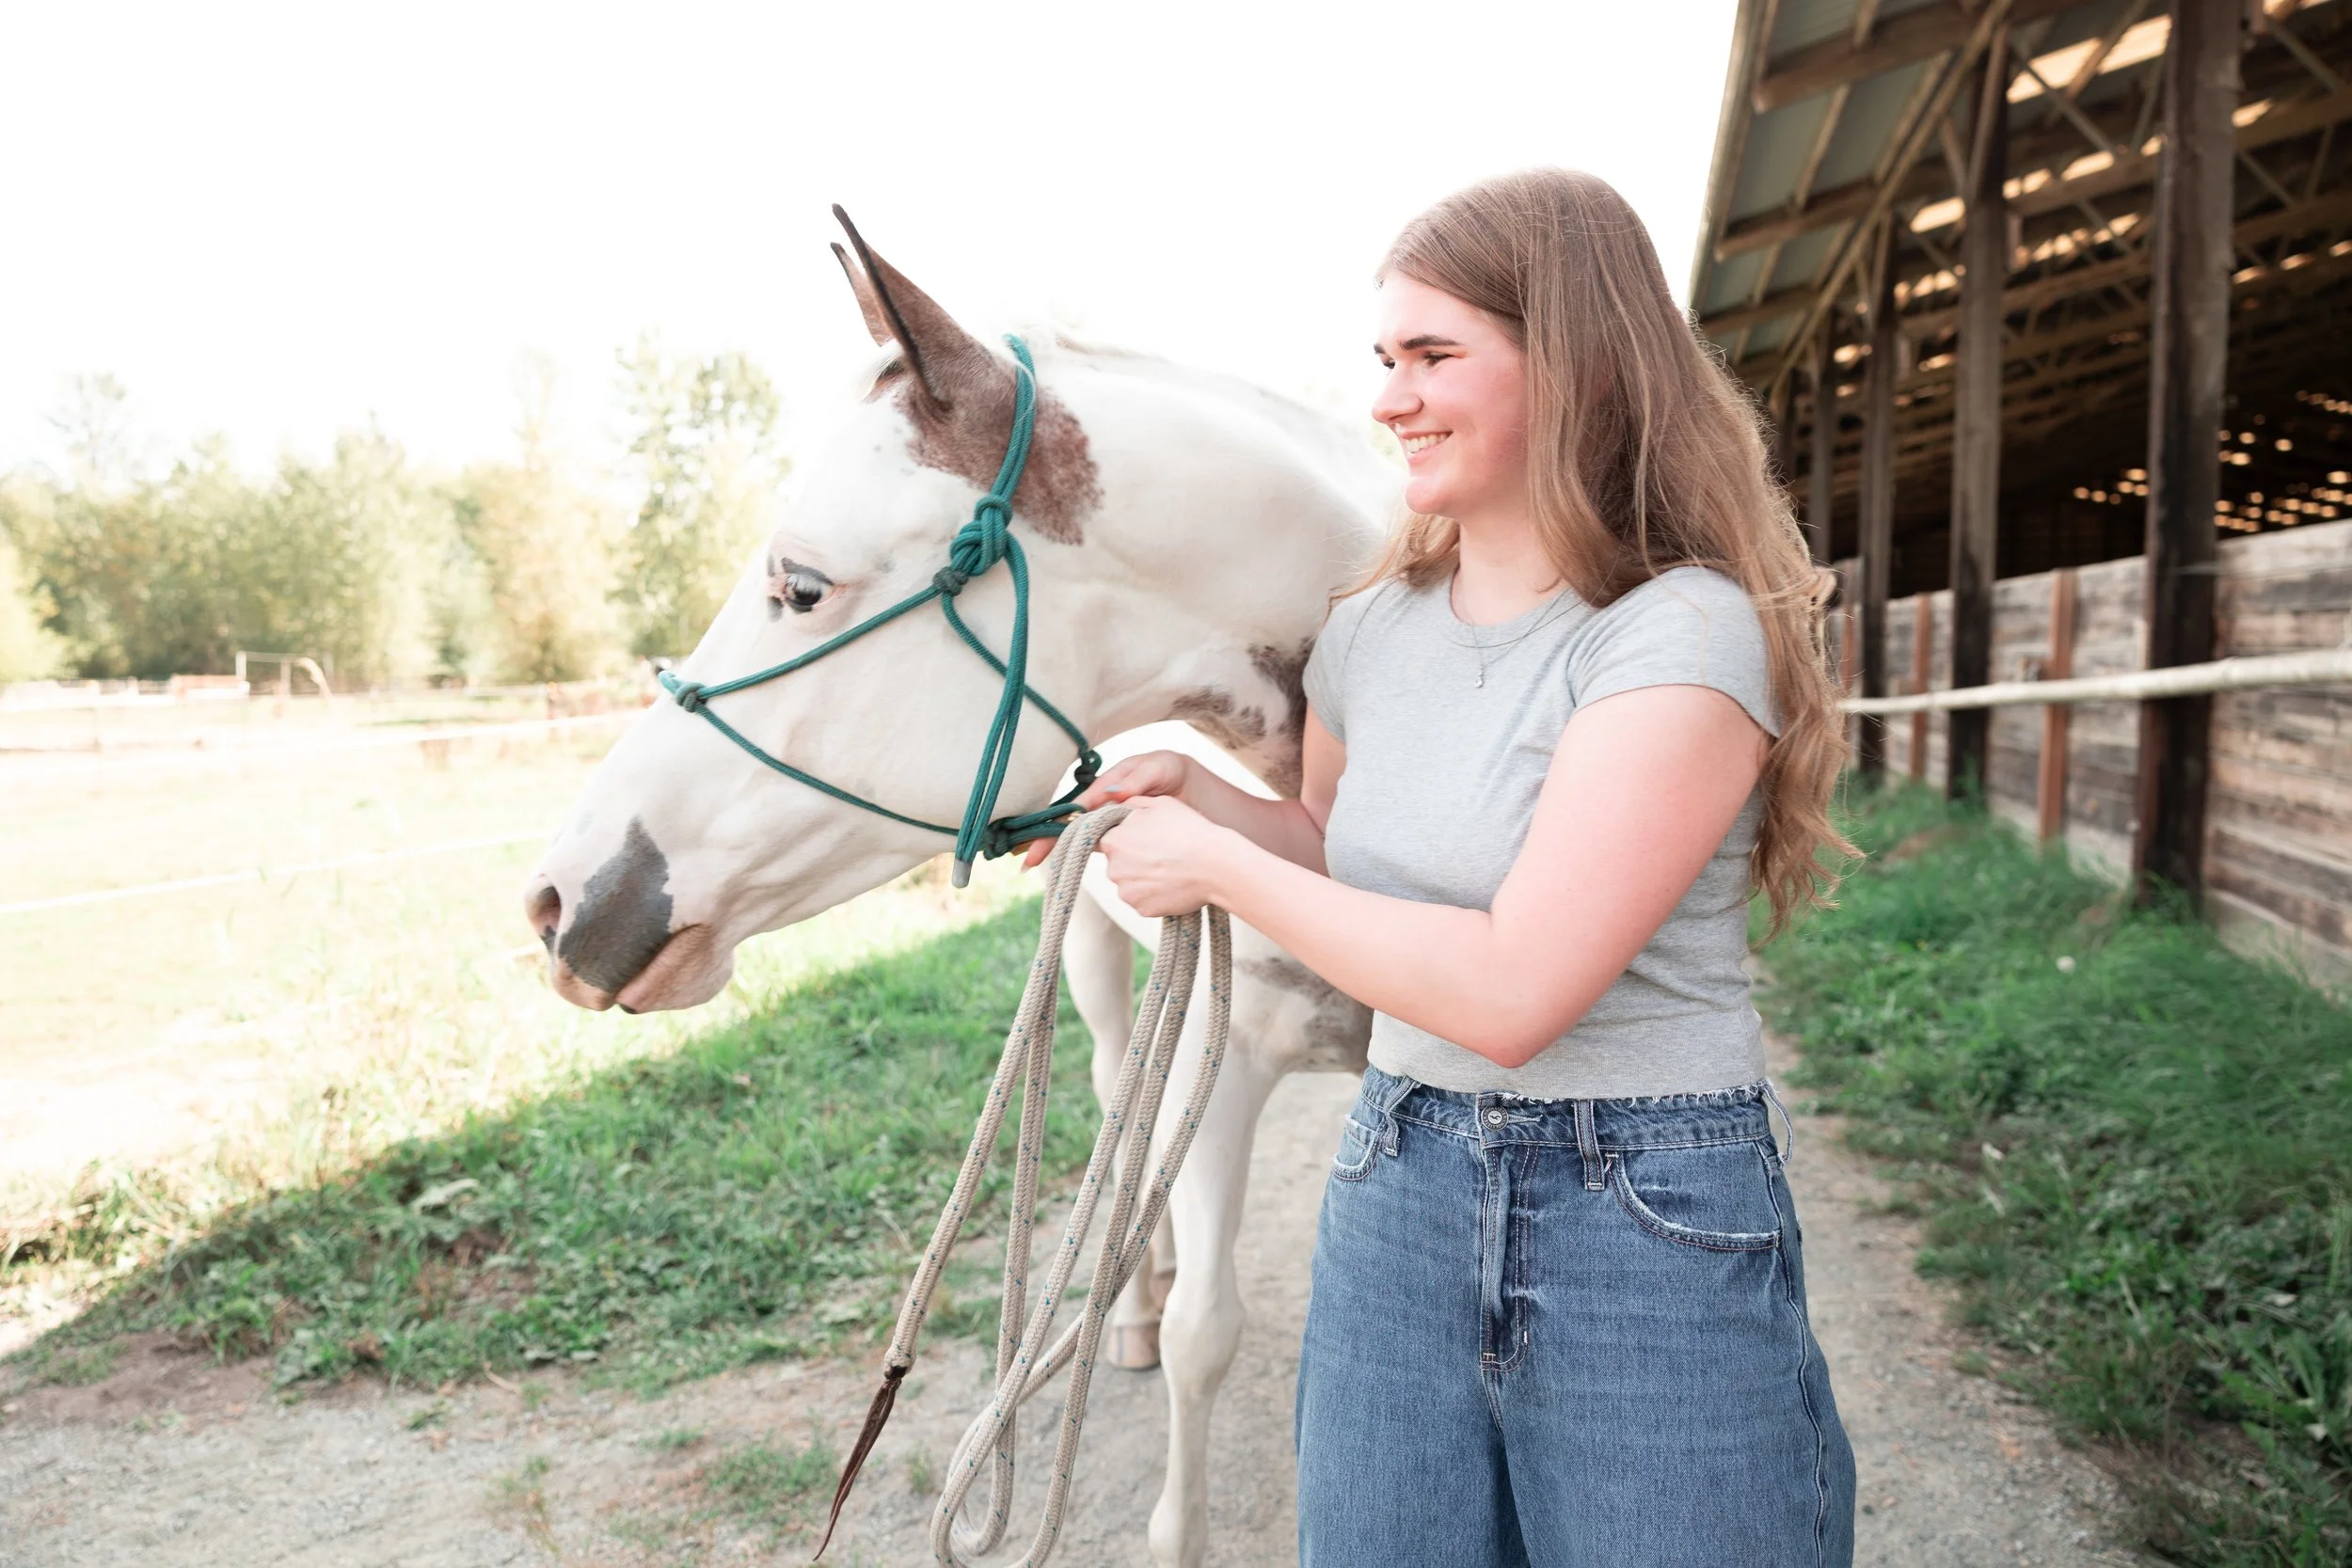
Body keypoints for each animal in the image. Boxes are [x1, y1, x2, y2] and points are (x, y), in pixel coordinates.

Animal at [525, 210, 1389, 1566]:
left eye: (800, 582)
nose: (563, 898)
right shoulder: (1231, 1061)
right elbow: (1204, 1334)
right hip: (1095, 955)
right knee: (1114, 1096)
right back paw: (1123, 1311)